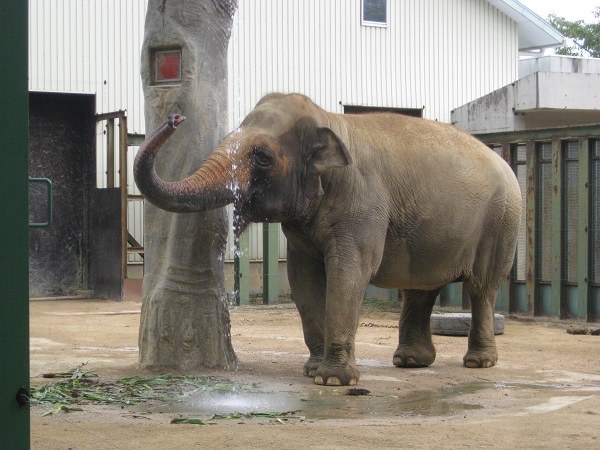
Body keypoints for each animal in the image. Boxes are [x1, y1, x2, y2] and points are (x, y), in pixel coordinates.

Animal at [135, 92, 520, 386]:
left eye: (262, 156)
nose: (175, 118)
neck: (328, 119)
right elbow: (302, 279)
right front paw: (311, 371)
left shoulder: (363, 204)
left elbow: (350, 274)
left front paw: (333, 380)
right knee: (420, 288)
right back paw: (411, 362)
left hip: (501, 222)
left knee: (482, 288)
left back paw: (478, 363)